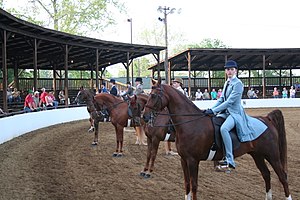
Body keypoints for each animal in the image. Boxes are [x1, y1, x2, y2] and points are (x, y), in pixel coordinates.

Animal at [142, 77, 292, 200]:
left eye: (153, 95)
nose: (145, 116)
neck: (191, 124)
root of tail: (266, 119)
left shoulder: (192, 160)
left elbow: (194, 184)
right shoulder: (183, 159)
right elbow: (187, 183)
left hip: (272, 155)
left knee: (283, 176)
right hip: (258, 155)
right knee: (266, 175)